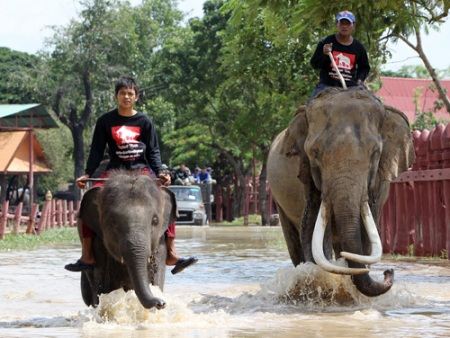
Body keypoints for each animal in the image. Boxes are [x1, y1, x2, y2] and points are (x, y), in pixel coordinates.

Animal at [76, 170, 177, 310]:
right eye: (112, 222)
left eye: (155, 221)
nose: (161, 303)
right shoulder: (98, 245)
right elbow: (102, 288)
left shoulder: (161, 244)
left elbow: (157, 278)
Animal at [266, 87, 416, 296]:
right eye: (314, 153)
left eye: (375, 153)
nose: (389, 271)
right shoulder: (308, 178)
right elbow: (313, 232)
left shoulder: (378, 186)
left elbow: (366, 236)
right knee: (294, 242)